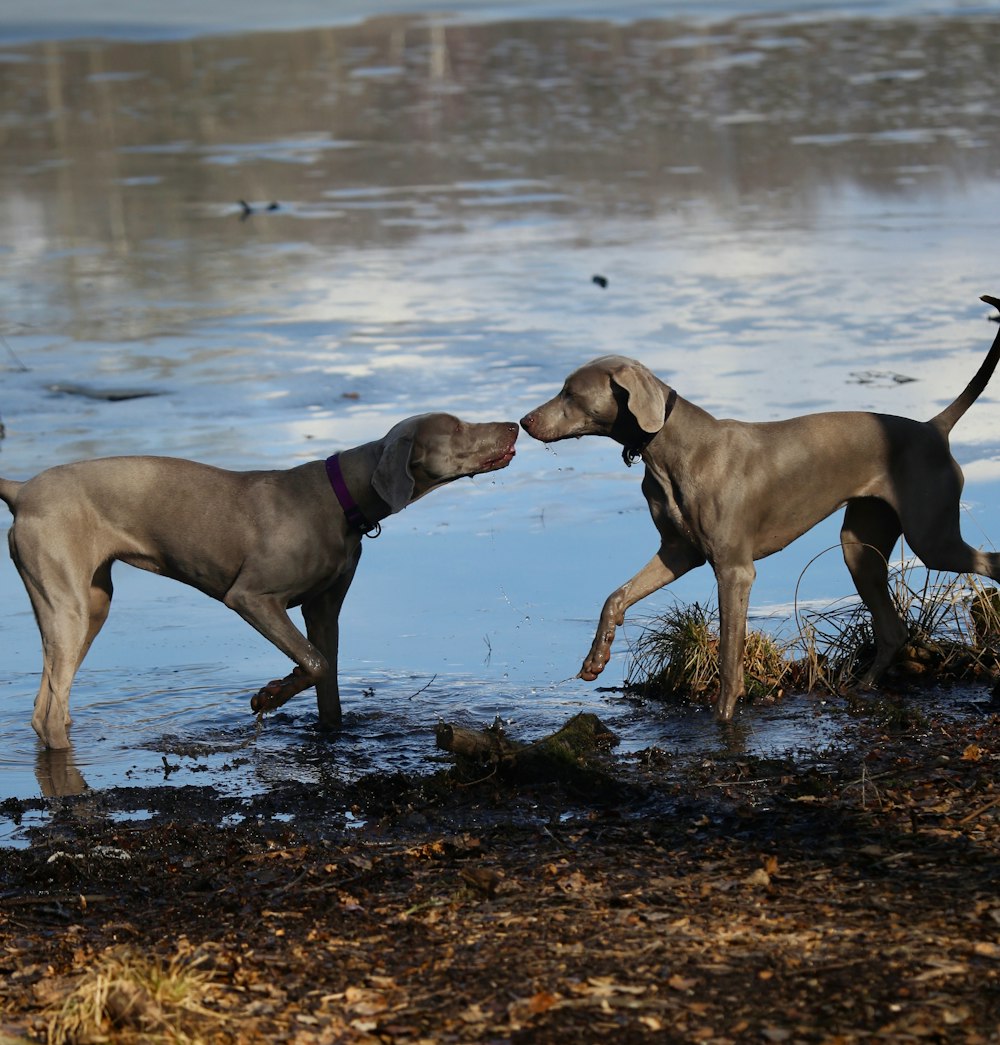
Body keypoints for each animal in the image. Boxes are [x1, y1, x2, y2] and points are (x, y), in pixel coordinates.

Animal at [0, 411, 514, 748]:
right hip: (66, 603)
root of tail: (22, 490)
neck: (340, 499)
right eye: (457, 426)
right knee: (47, 712)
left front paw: (326, 730)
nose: (511, 425)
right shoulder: (252, 597)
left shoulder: (324, 609)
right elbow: (314, 661)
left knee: (52, 701)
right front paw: (270, 694)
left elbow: (327, 676)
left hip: (93, 603)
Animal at [522, 294, 998, 718]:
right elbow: (616, 595)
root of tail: (933, 428)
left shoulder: (734, 569)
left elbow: (730, 656)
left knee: (986, 563)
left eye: (569, 393)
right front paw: (596, 658)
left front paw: (724, 717)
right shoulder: (679, 552)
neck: (670, 448)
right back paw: (859, 687)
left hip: (931, 536)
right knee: (893, 628)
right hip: (860, 546)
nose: (525, 420)